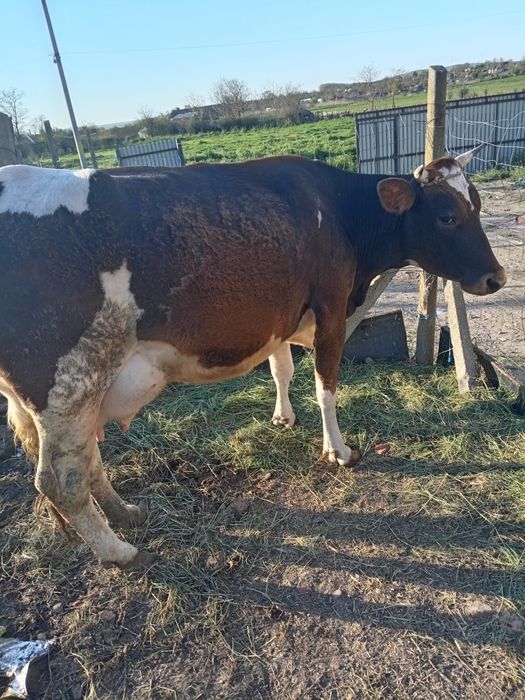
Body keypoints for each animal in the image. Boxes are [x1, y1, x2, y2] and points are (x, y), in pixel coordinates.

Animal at [0, 150, 505, 569]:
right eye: (447, 216)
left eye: (478, 206)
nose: (497, 278)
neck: (338, 211)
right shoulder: (331, 308)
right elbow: (326, 384)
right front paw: (338, 451)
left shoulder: (280, 314)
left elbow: (282, 369)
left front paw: (283, 417)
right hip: (70, 383)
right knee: (61, 480)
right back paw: (119, 551)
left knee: (88, 462)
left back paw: (125, 514)